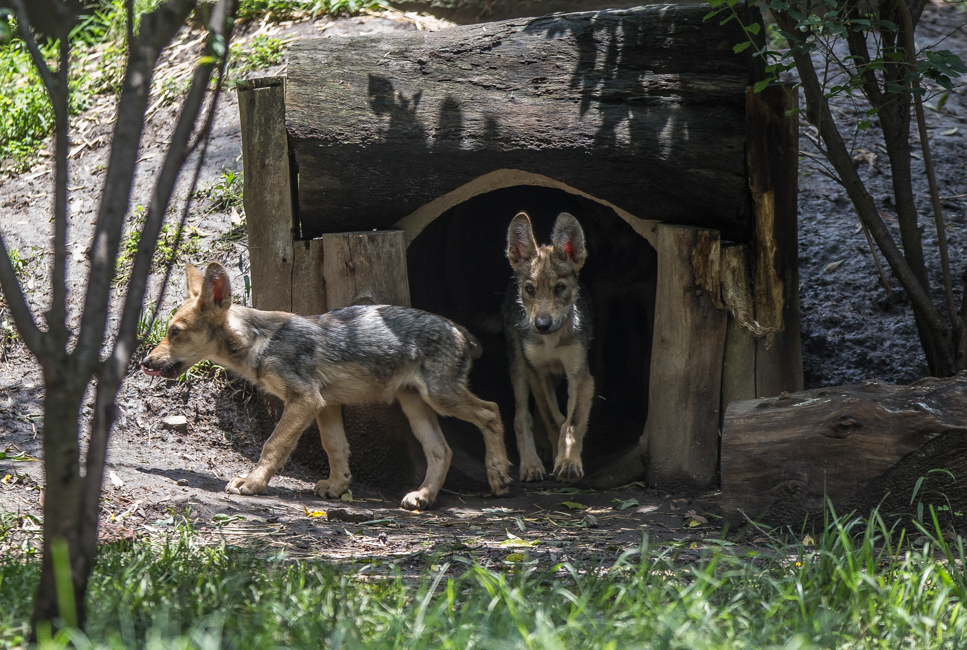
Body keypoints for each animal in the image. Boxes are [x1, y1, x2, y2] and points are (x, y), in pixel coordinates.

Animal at [141, 262, 512, 510]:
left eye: (175, 332)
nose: (145, 361)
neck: (260, 342)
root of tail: (460, 330)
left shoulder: (304, 400)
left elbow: (272, 446)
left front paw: (253, 482)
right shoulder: (325, 405)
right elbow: (335, 449)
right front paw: (337, 486)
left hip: (442, 399)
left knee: (492, 412)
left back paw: (499, 476)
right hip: (416, 406)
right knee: (442, 450)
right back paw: (424, 496)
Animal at [502, 212, 595, 483]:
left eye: (560, 288)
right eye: (529, 289)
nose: (542, 325)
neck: (551, 342)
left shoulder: (581, 375)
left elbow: (572, 423)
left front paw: (568, 463)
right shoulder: (536, 371)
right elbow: (553, 419)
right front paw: (556, 453)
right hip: (518, 367)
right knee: (521, 416)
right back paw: (531, 464)